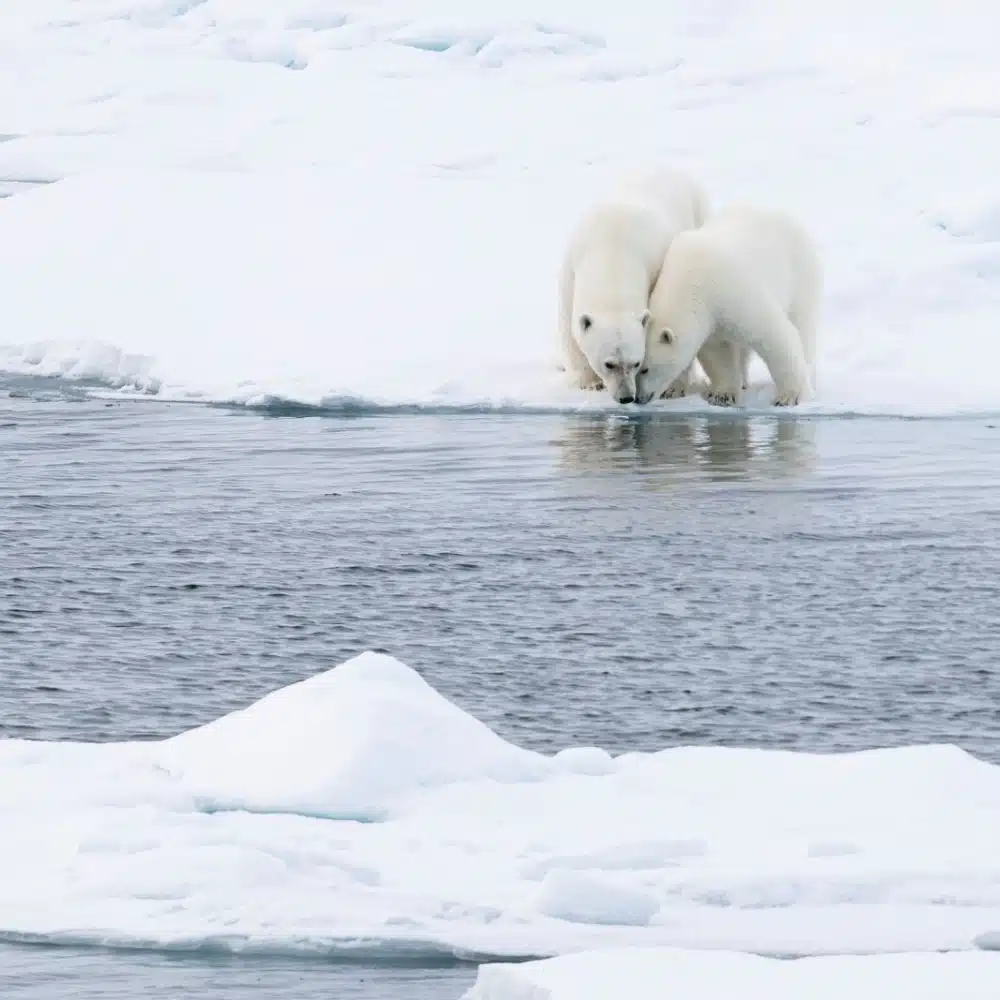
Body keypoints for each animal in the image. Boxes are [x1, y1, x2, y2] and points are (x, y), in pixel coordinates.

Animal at [558, 167, 709, 404]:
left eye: (636, 363)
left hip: (699, 210)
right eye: (609, 364)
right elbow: (568, 325)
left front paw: (673, 388)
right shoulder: (571, 268)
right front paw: (589, 382)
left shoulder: (656, 266)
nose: (627, 397)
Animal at [635, 205, 821, 407]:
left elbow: (773, 335)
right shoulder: (710, 319)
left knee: (802, 325)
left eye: (644, 369)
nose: (638, 398)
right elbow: (718, 354)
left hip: (800, 276)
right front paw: (723, 395)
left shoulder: (731, 291)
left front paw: (789, 396)